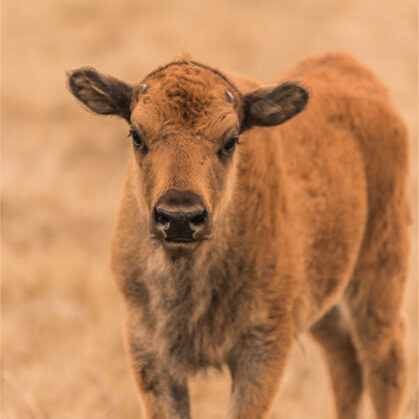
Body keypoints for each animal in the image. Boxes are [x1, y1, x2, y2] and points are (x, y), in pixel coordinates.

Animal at [68, 53, 410, 419]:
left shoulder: (263, 348)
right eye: (136, 135)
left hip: (378, 281)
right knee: (345, 361)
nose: (179, 218)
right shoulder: (148, 349)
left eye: (230, 141)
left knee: (385, 365)